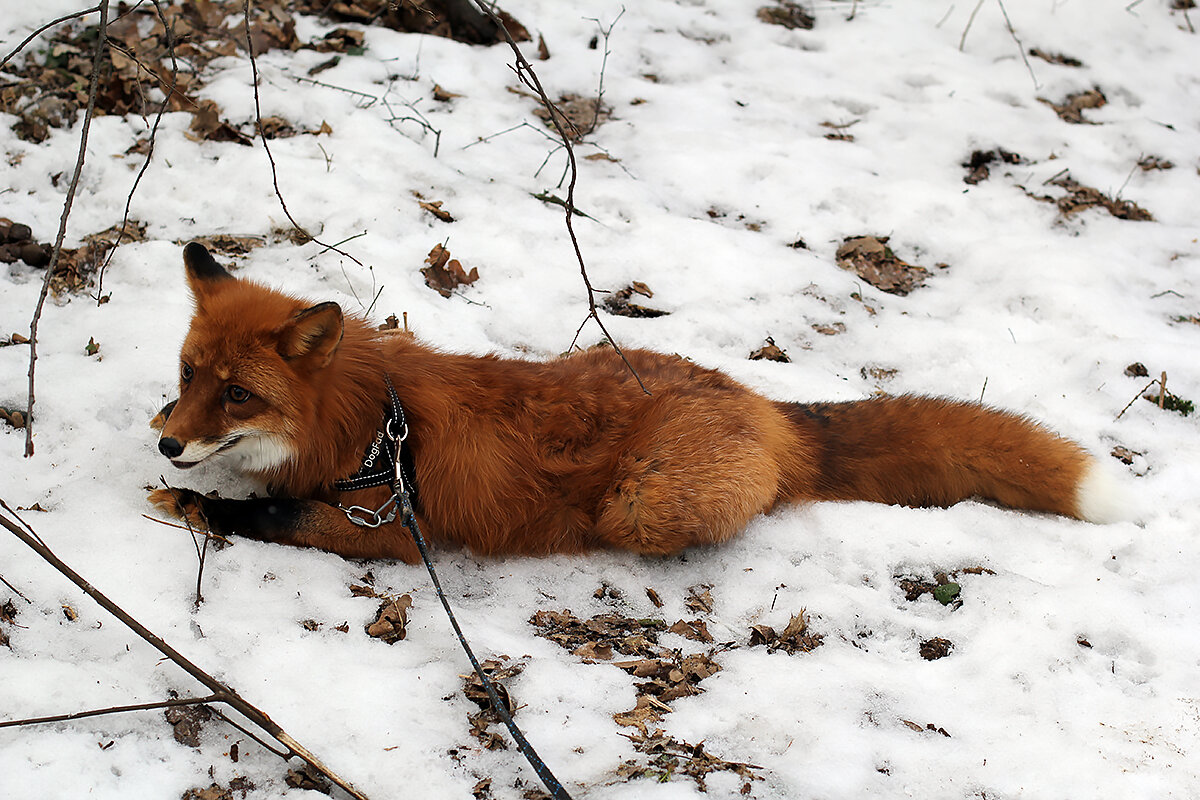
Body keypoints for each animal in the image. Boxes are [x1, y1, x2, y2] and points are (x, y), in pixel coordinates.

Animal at [150, 244, 1123, 563]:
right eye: (188, 375)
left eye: (238, 393)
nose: (166, 445)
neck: (368, 423)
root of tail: (764, 405)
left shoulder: (388, 528)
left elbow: (268, 514)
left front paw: (195, 501)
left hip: (644, 504)